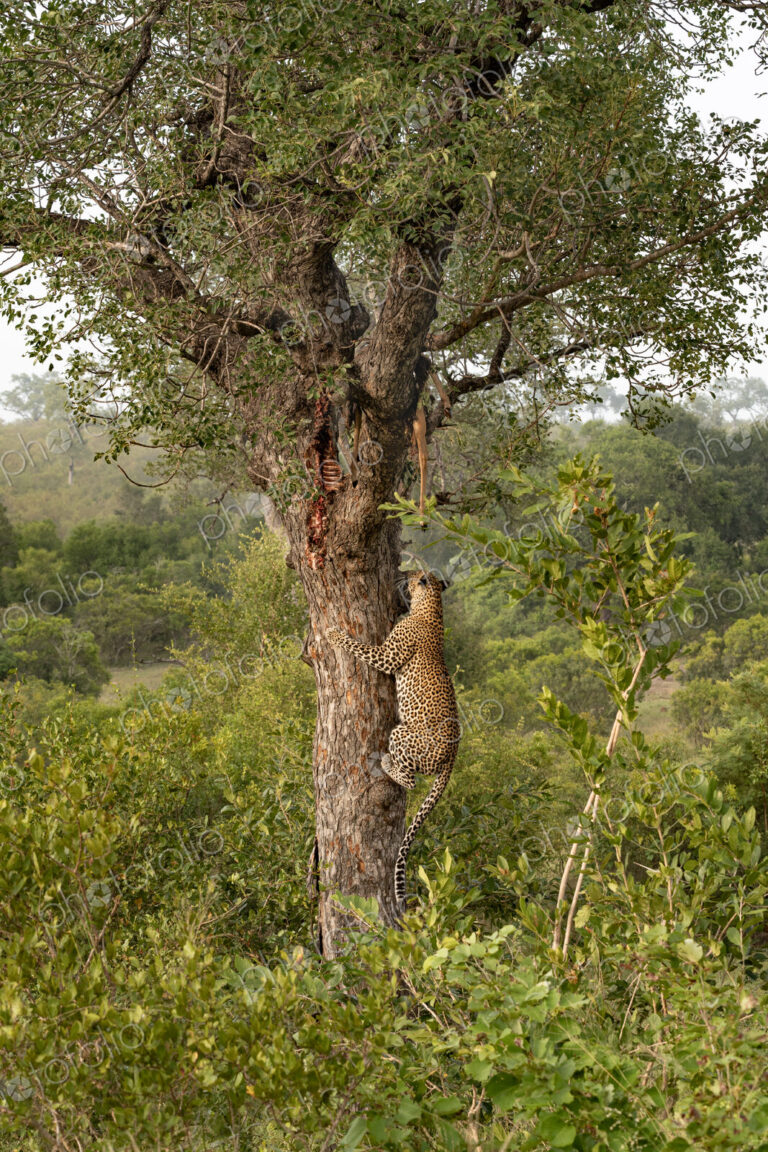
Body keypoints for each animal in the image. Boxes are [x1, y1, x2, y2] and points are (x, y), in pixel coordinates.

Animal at [326, 570, 460, 910]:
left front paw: (334, 635)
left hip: (402, 734)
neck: (432, 607)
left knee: (410, 780)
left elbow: (358, 646)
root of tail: (454, 756)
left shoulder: (387, 655)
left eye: (414, 574)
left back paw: (387, 762)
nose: (405, 574)